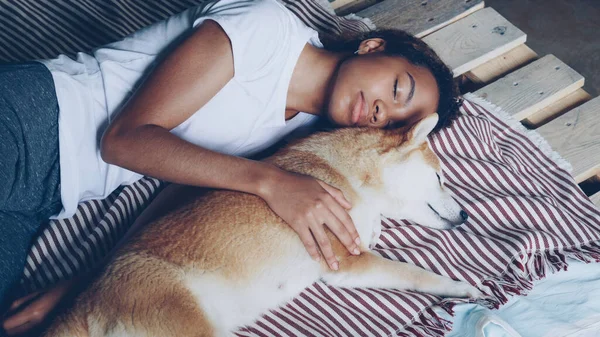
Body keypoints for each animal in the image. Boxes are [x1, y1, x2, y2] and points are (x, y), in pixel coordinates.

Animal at [44, 113, 480, 336]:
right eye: (440, 176)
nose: (465, 215)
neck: (345, 173)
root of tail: (85, 300)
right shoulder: (348, 262)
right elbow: (417, 274)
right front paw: (461, 287)